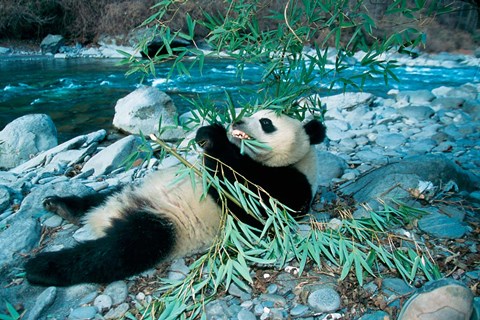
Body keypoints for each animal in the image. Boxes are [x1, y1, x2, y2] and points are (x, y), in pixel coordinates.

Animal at [26, 110, 326, 288]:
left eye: (266, 123)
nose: (237, 122)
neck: (299, 160)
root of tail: (106, 218)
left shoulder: (288, 188)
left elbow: (243, 192)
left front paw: (214, 138)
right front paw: (206, 133)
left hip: (164, 227)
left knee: (113, 254)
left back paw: (42, 267)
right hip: (131, 190)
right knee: (99, 197)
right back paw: (62, 205)